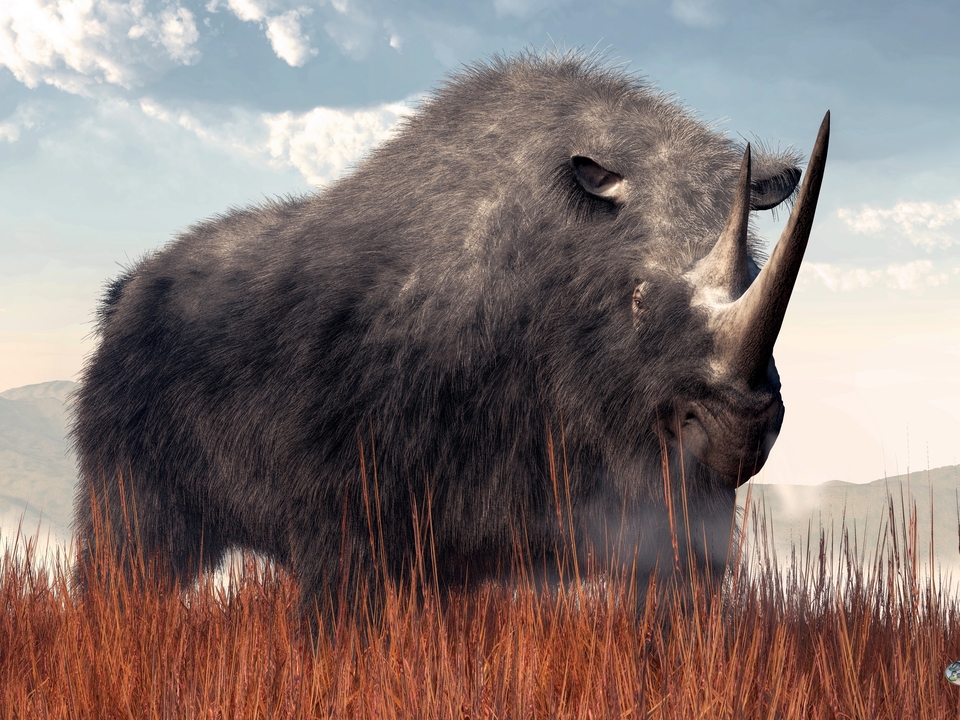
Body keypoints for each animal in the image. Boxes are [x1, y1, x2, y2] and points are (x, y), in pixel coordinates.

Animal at [72, 52, 829, 624]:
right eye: (639, 295)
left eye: (759, 272)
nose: (739, 429)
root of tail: (123, 296)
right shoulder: (352, 526)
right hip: (130, 484)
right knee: (125, 563)